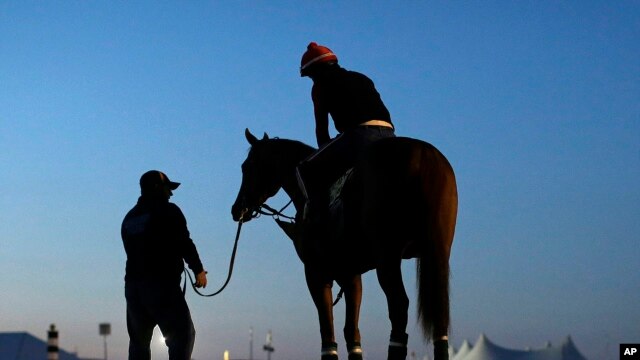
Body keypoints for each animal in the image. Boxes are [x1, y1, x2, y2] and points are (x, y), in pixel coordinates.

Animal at [232, 128, 458, 358]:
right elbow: (352, 333)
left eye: (246, 167)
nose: (237, 209)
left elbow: (328, 333)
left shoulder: (316, 273)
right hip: (438, 252)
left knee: (398, 307)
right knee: (439, 314)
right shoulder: (350, 275)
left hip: (388, 258)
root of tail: (422, 154)